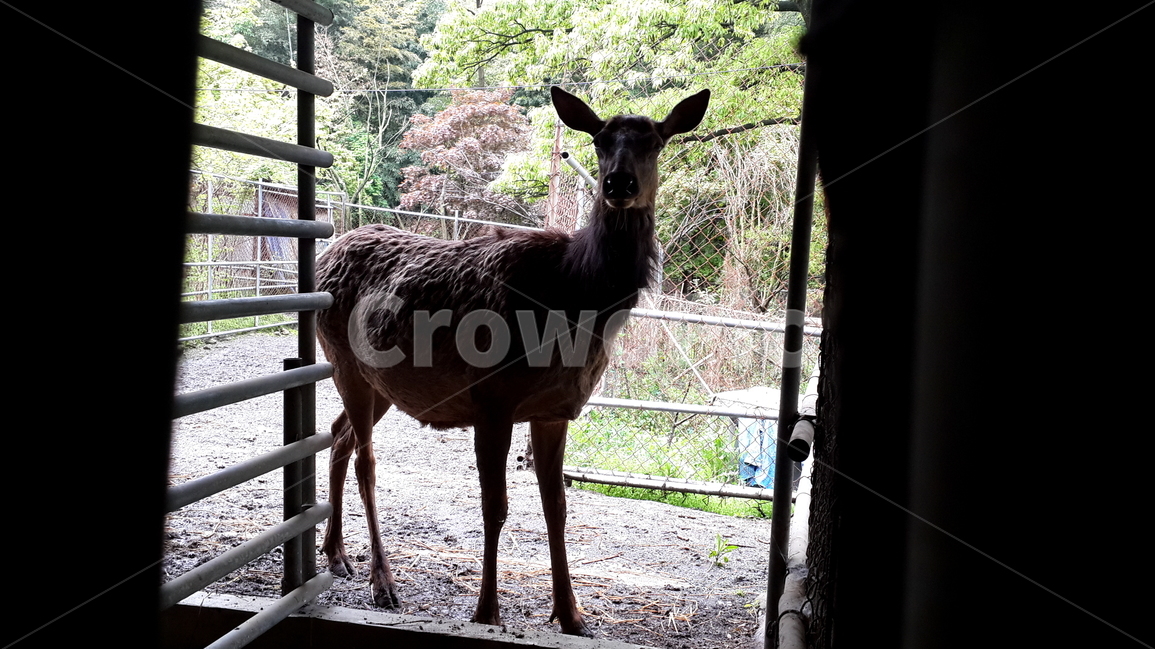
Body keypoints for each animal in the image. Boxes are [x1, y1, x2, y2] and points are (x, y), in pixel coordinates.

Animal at [314, 86, 710, 636]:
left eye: (655, 141)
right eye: (600, 140)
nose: (618, 183)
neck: (575, 296)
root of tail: (325, 253)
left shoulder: (555, 410)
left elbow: (556, 507)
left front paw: (572, 615)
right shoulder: (492, 400)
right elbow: (495, 507)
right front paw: (487, 611)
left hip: (380, 384)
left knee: (338, 436)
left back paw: (336, 555)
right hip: (344, 361)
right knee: (365, 460)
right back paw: (383, 581)